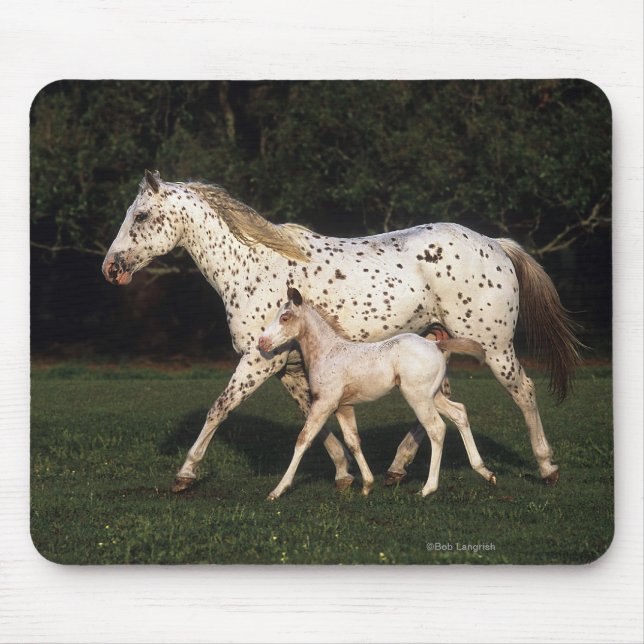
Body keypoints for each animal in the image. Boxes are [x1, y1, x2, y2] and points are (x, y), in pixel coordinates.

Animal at [258, 287, 495, 499]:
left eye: (285, 317)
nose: (262, 342)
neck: (328, 353)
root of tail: (437, 345)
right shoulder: (343, 406)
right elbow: (353, 441)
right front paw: (367, 485)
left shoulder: (324, 402)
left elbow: (303, 439)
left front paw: (277, 490)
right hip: (433, 395)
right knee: (459, 412)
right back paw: (485, 471)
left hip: (418, 398)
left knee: (437, 429)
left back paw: (428, 488)